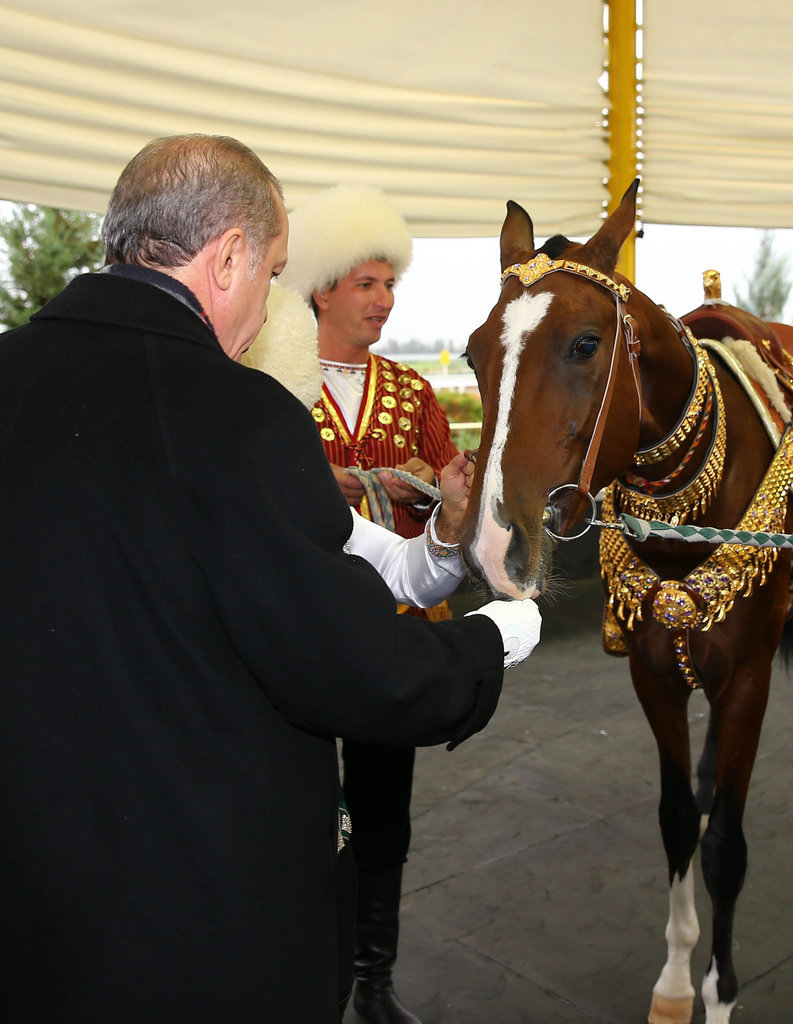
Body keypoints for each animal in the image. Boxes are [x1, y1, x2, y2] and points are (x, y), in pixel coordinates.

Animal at [458, 180, 793, 1019]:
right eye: (474, 353)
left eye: (584, 345)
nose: (491, 546)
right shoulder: (651, 672)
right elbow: (676, 822)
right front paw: (674, 982)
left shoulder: (747, 680)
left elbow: (724, 846)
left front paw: (718, 991)